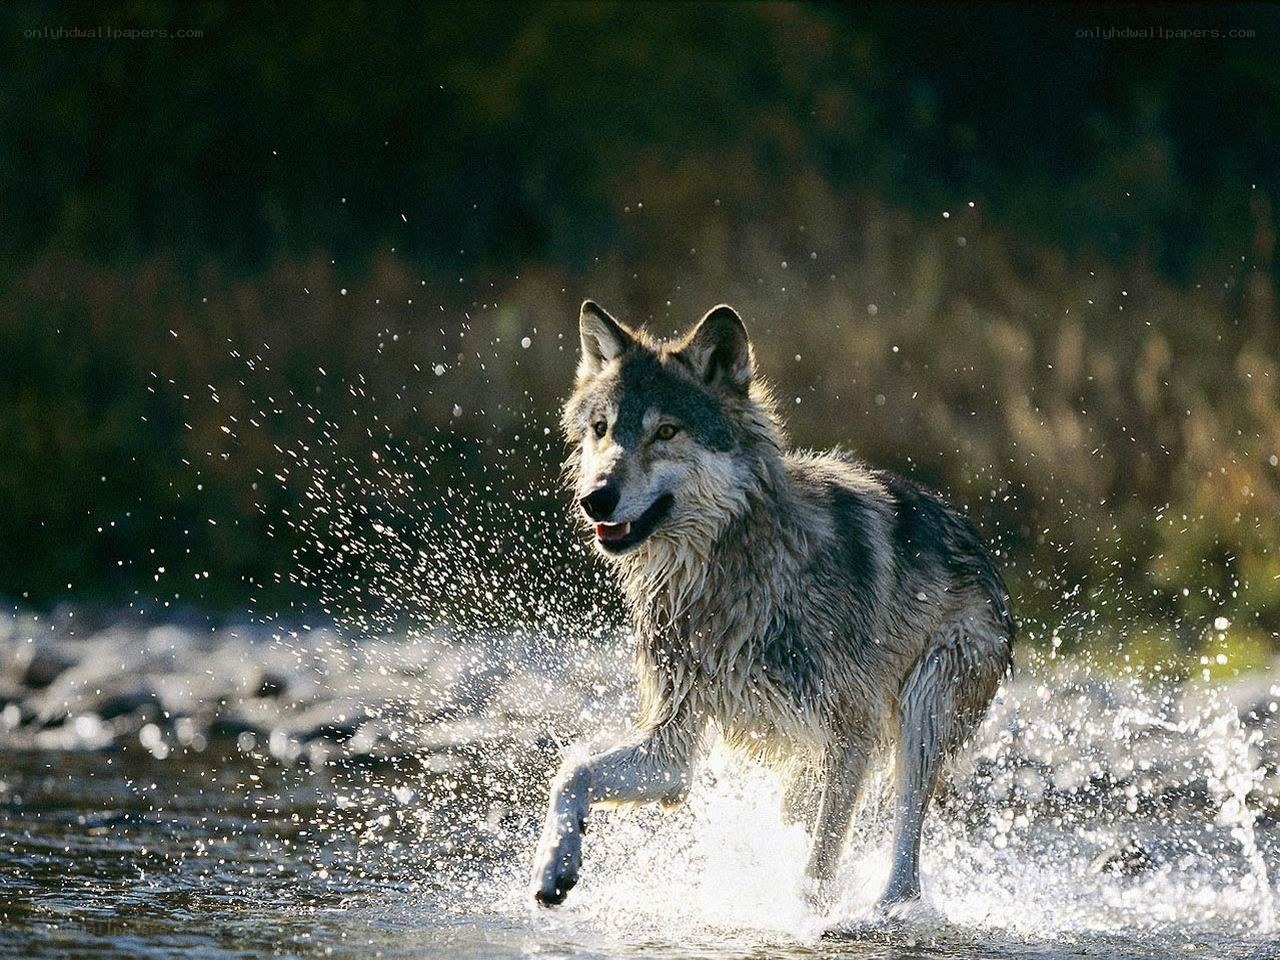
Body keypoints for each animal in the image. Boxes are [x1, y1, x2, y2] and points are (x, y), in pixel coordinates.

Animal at [531, 301, 1014, 912]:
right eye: (601, 430)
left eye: (665, 431)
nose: (595, 498)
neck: (727, 578)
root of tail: (985, 555)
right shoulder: (673, 749)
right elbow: (571, 770)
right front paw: (553, 865)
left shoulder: (850, 736)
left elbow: (818, 868)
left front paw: (807, 919)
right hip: (809, 764)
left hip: (918, 714)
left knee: (905, 866)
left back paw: (884, 912)